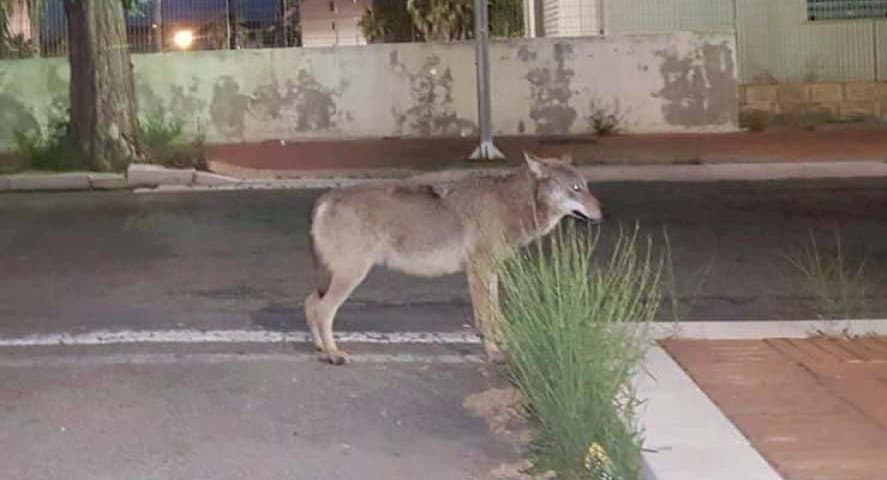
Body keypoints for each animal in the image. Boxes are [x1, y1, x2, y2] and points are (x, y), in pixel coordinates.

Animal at [304, 152, 603, 365]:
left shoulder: (490, 272)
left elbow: (496, 315)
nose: (601, 213)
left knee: (310, 304)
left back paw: (320, 347)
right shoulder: (479, 270)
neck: (512, 204)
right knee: (323, 309)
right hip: (351, 275)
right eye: (575, 188)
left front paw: (503, 345)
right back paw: (333, 353)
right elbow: (485, 318)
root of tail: (326, 198)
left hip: (336, 275)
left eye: (587, 186)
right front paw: (494, 354)